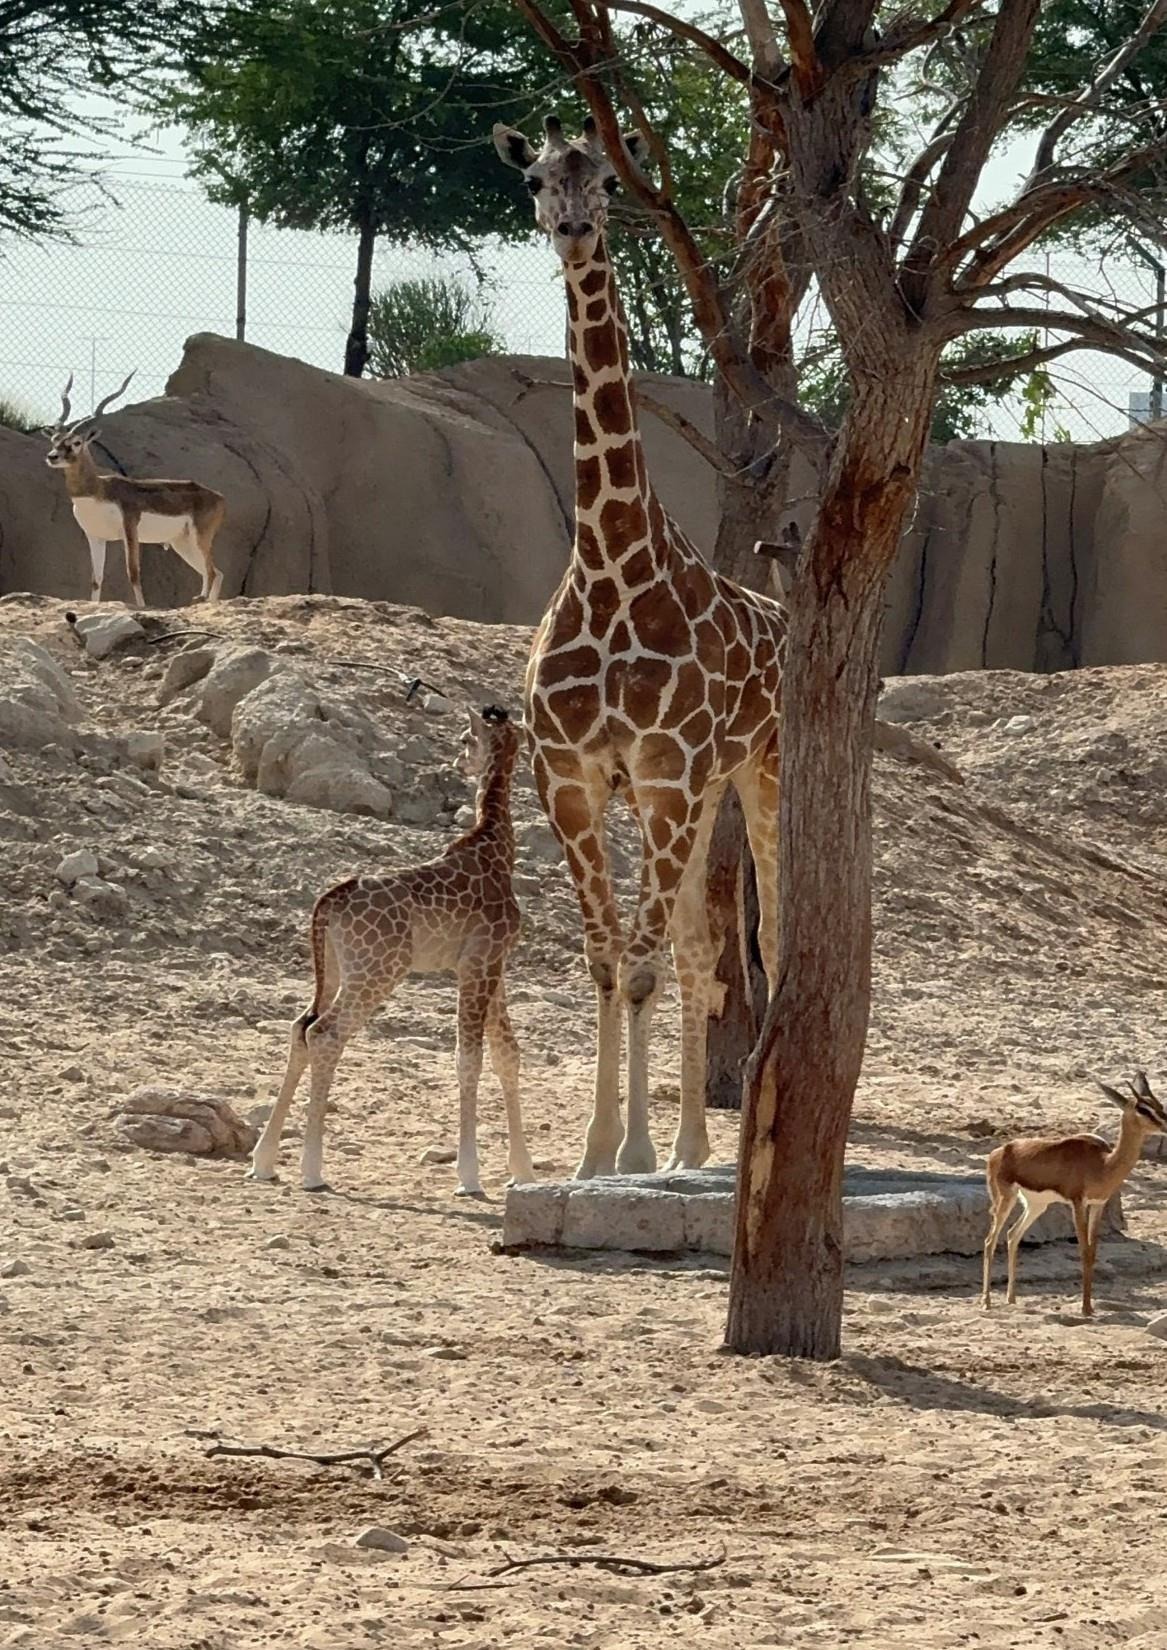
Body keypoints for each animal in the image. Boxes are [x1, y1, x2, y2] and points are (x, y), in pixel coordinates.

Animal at [248, 705, 535, 1198]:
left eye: (464, 741)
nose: (458, 763)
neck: (497, 847)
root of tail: (329, 901)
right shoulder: (477, 964)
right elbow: (469, 1060)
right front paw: (469, 1176)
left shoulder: (492, 964)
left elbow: (506, 1055)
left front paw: (523, 1172)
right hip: (379, 969)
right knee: (324, 1033)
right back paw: (312, 1171)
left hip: (338, 968)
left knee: (300, 1027)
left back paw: (264, 1161)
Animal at [493, 115, 786, 1179]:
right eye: (535, 180)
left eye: (608, 183)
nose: (573, 230)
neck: (613, 563)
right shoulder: (573, 776)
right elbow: (604, 959)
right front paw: (594, 1154)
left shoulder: (664, 772)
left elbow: (644, 969)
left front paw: (631, 1151)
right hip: (693, 802)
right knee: (699, 948)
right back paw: (695, 1146)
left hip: (754, 773)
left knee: (766, 941)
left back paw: (717, 1149)